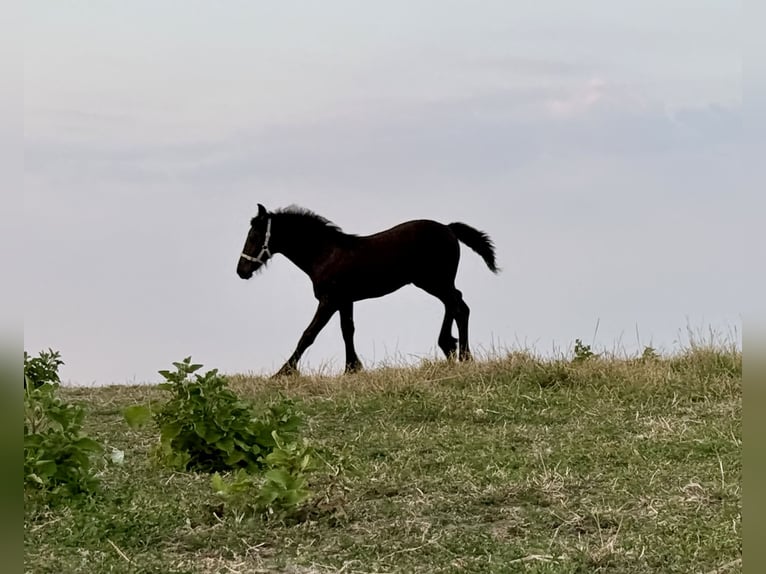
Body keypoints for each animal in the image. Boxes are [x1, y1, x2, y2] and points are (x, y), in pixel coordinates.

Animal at [236, 204, 498, 377]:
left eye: (254, 236)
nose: (241, 270)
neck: (326, 254)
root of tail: (448, 228)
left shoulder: (329, 300)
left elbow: (308, 334)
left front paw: (283, 372)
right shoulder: (345, 301)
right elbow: (348, 330)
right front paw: (352, 368)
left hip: (435, 281)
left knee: (459, 307)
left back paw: (462, 355)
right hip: (434, 282)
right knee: (456, 304)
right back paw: (451, 347)